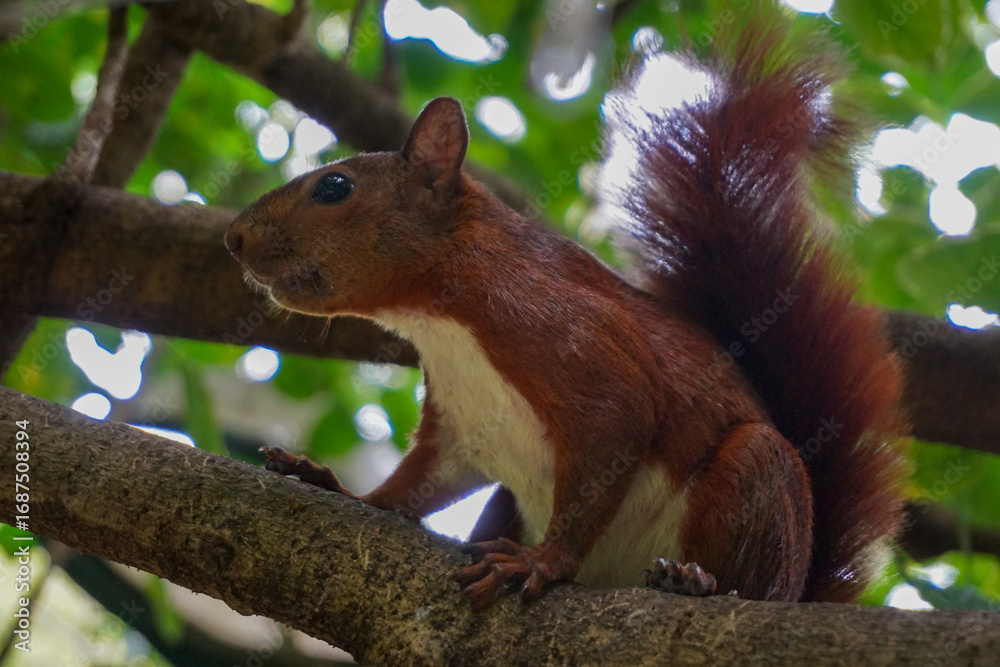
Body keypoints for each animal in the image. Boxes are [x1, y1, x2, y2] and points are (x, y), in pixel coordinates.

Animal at [224, 17, 904, 609]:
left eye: (334, 188)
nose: (233, 238)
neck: (439, 320)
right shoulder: (460, 424)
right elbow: (418, 483)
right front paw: (338, 486)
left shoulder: (566, 337)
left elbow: (613, 432)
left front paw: (541, 562)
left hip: (757, 481)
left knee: (750, 561)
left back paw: (696, 582)